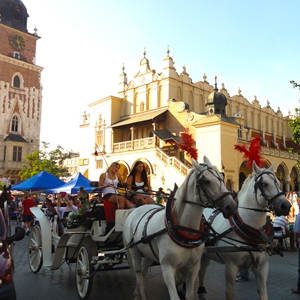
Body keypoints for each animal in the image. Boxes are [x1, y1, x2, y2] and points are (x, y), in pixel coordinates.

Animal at [123, 157, 238, 300]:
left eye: (222, 177)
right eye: (206, 181)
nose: (231, 206)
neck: (184, 229)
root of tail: (135, 209)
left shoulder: (193, 267)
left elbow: (189, 295)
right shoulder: (167, 267)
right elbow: (175, 297)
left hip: (148, 253)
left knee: (143, 273)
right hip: (134, 251)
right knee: (138, 274)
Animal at [199, 163, 290, 298]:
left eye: (278, 182)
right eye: (264, 184)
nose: (286, 206)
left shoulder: (262, 267)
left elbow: (263, 293)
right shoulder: (231, 267)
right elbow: (230, 293)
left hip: (206, 255)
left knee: (201, 272)